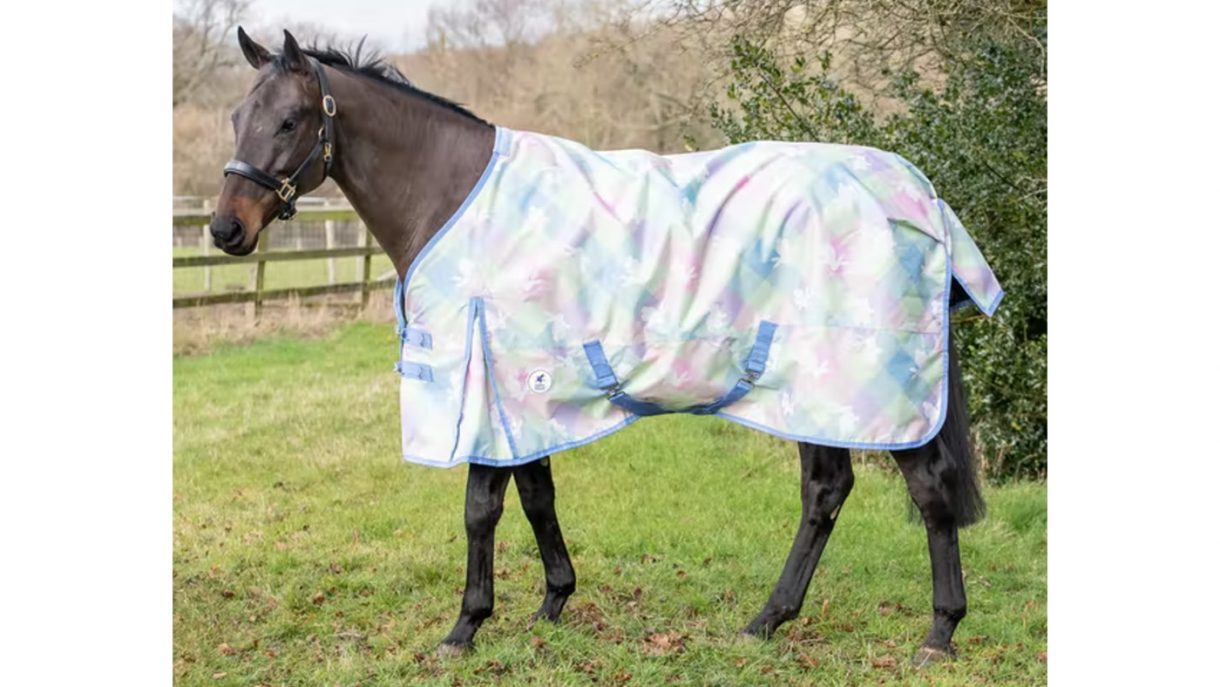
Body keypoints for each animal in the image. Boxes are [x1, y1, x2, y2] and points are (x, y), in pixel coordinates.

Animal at [209, 29, 999, 666]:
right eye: (238, 118)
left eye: (289, 120)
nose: (225, 229)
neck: (454, 196)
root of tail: (920, 194)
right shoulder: (522, 393)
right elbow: (536, 495)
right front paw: (552, 602)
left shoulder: (487, 387)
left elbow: (481, 509)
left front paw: (464, 628)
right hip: (811, 395)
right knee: (825, 493)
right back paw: (765, 621)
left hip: (874, 385)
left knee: (928, 489)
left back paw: (938, 632)